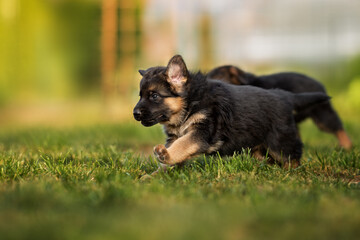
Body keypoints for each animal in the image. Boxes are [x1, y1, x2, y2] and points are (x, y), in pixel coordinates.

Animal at [132, 55, 330, 168]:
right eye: (140, 95)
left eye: (154, 96)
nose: (135, 114)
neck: (191, 102)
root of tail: (285, 96)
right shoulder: (175, 136)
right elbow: (175, 154)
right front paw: (154, 176)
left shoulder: (201, 132)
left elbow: (183, 145)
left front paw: (165, 156)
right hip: (258, 147)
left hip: (280, 143)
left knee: (293, 156)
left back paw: (293, 174)